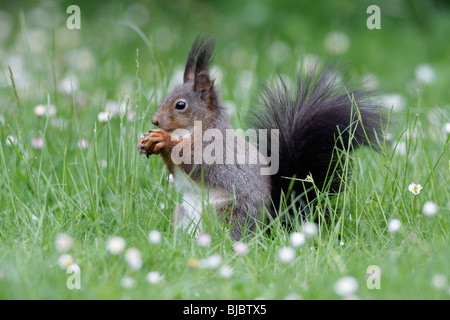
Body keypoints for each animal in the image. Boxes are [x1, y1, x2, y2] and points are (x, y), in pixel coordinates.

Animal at [139, 35, 384, 240]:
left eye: (180, 105)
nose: (154, 121)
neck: (191, 130)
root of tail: (267, 227)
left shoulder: (214, 149)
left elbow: (192, 159)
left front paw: (164, 140)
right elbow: (175, 170)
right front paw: (152, 142)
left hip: (225, 214)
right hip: (183, 213)